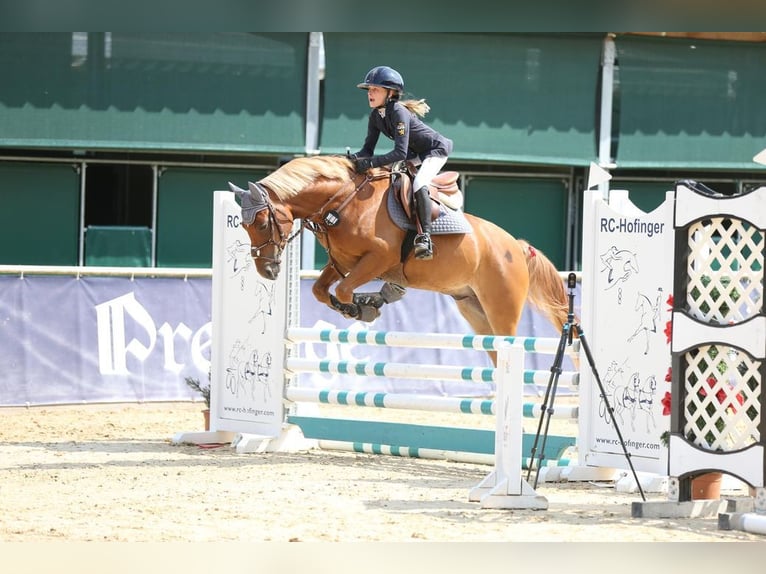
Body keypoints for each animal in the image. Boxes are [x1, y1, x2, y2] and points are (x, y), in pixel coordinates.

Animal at [231, 155, 572, 366]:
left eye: (262, 223)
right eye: (244, 226)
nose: (267, 270)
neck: (342, 201)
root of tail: (517, 247)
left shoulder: (378, 258)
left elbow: (343, 290)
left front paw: (362, 307)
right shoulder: (343, 263)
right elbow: (320, 290)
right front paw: (369, 302)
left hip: (502, 309)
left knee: (509, 346)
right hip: (473, 309)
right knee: (495, 353)